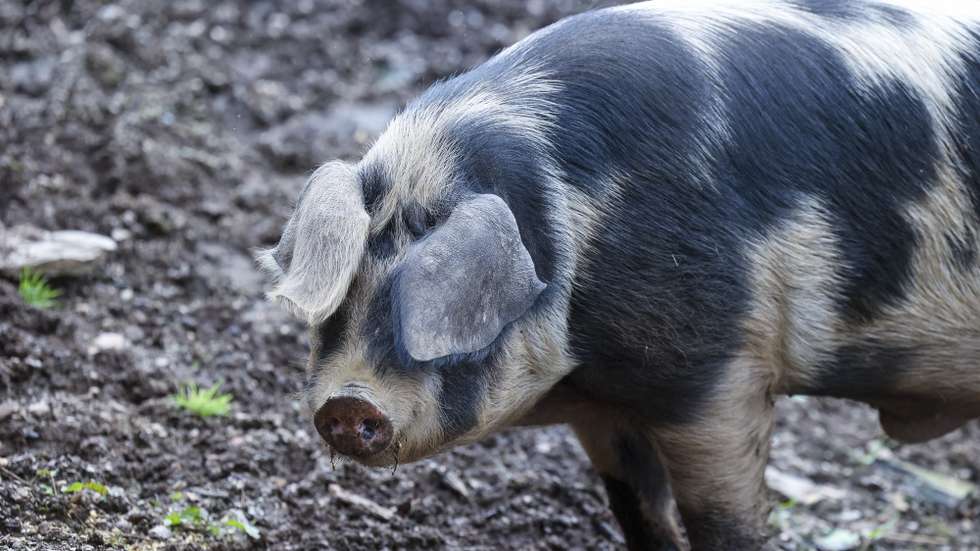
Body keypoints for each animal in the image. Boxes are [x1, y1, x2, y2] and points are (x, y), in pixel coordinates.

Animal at [258, 1, 980, 549]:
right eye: (338, 304)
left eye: (445, 307)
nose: (349, 404)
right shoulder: (604, 407)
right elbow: (637, 504)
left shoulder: (717, 372)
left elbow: (725, 519)